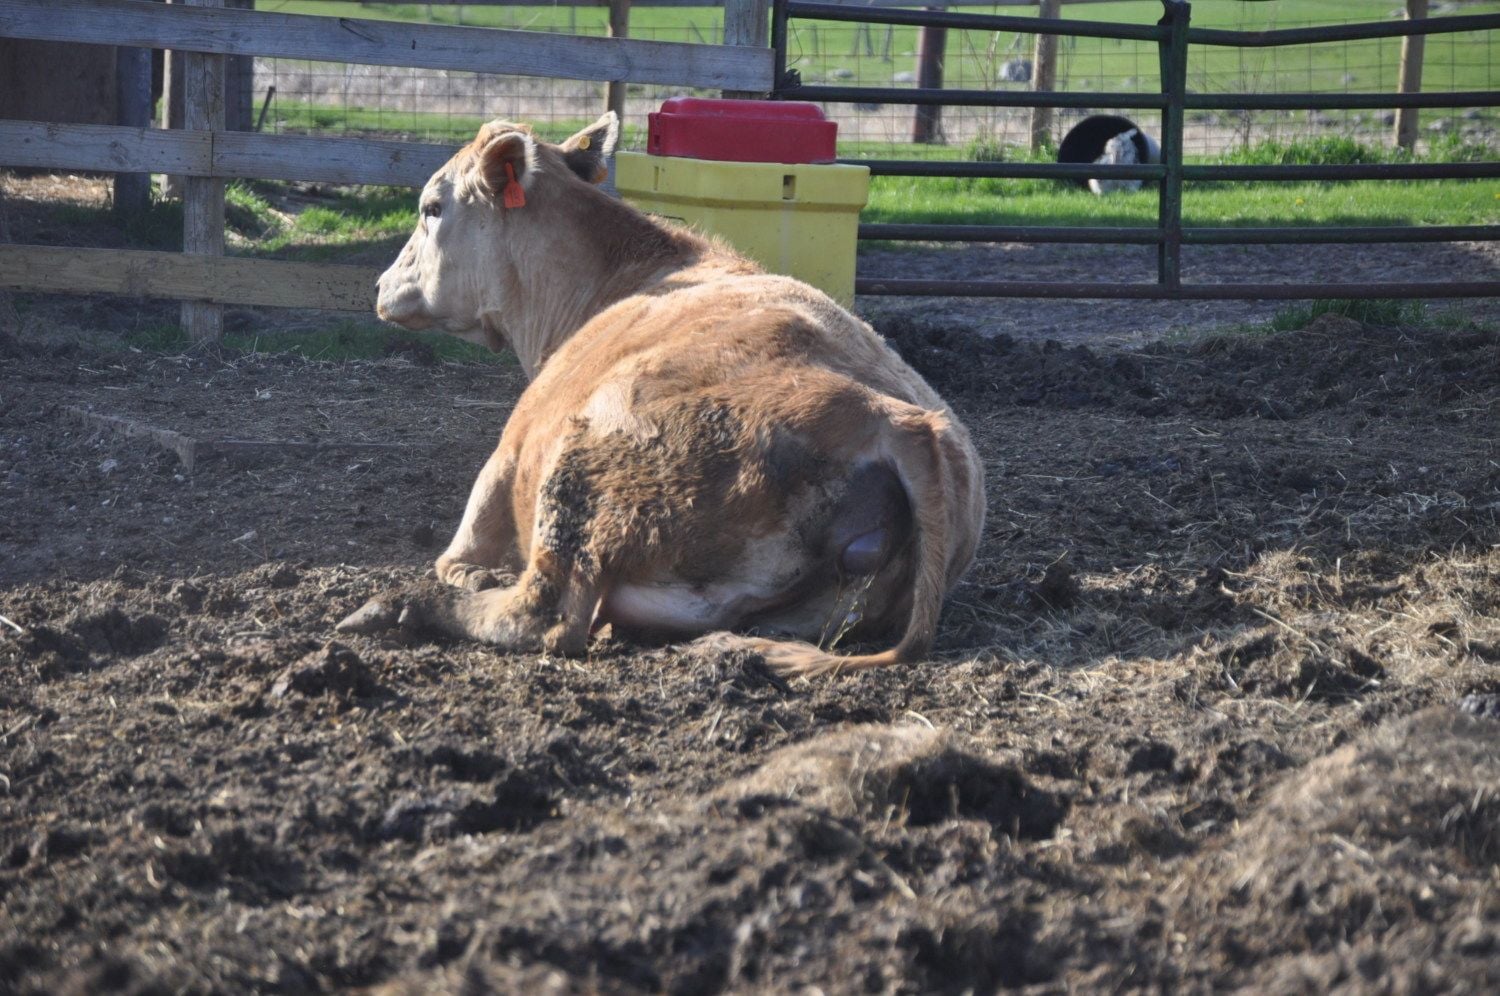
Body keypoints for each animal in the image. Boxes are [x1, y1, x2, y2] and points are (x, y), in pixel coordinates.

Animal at [337, 112, 985, 677]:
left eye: (431, 207)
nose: (380, 285)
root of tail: (895, 419)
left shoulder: (503, 465)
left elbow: (461, 561)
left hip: (584, 473)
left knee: (545, 613)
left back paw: (399, 605)